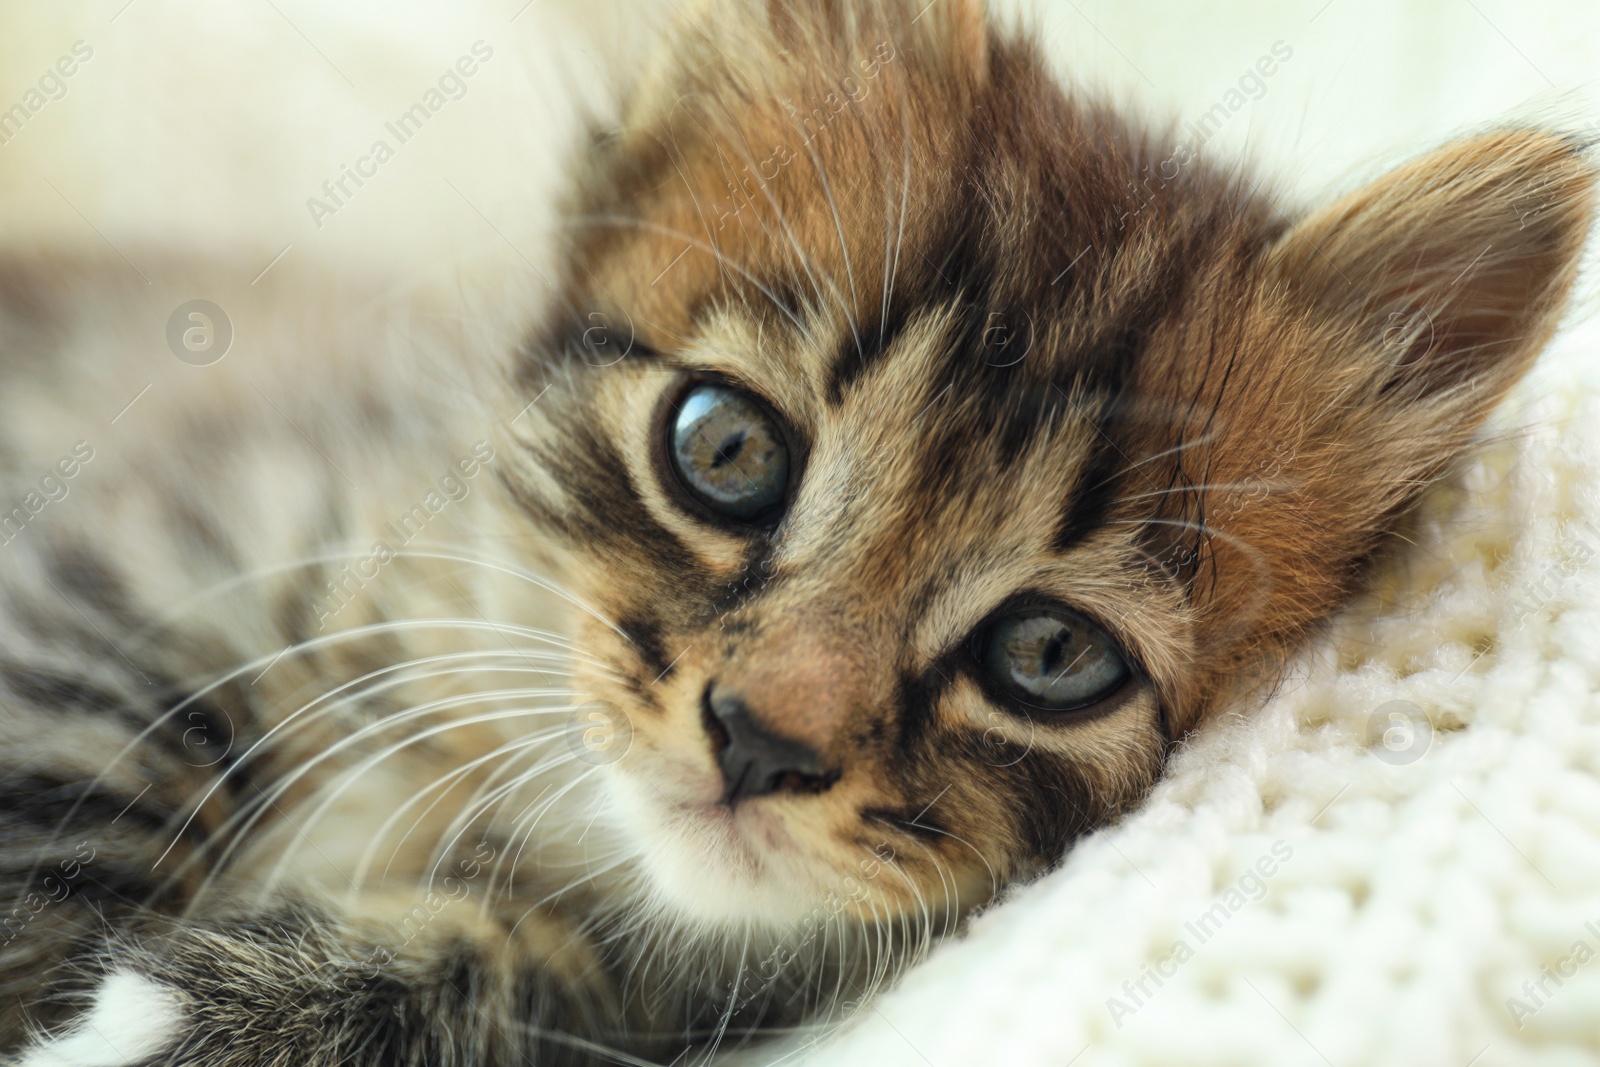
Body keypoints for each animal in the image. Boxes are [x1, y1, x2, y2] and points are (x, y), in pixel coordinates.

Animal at [6, 2, 1593, 1067]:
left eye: (1050, 651)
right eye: (726, 451)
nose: (761, 741)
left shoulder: (659, 973)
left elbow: (532, 965)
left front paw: (205, 1009)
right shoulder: (175, 535)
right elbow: (82, 765)